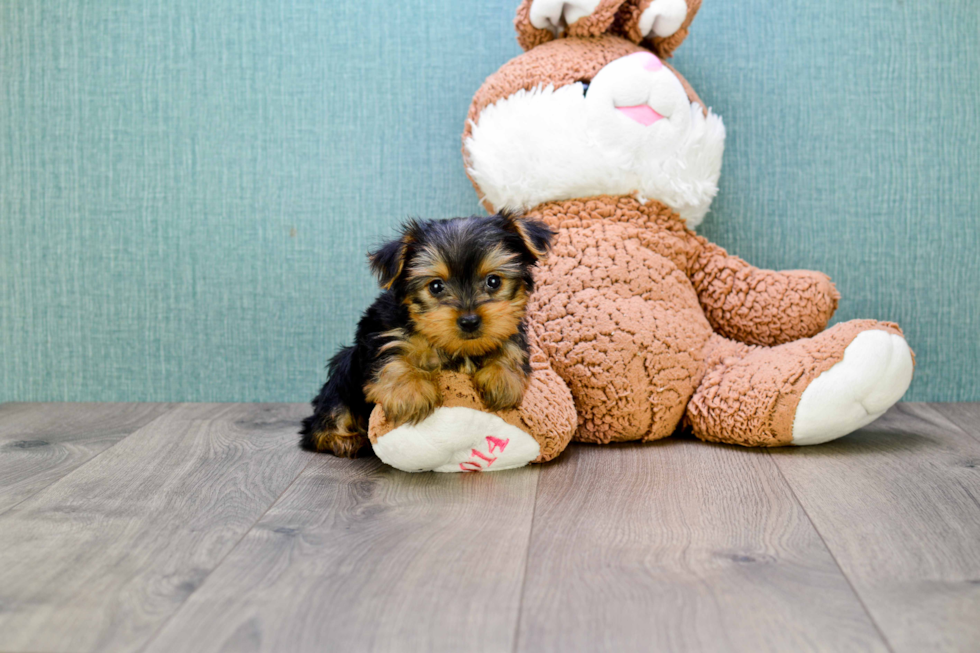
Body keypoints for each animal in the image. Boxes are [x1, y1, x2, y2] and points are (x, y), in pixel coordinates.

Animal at [300, 213, 552, 454]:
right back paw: (342, 439)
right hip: (343, 373)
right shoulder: (379, 331)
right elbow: (391, 357)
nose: (469, 321)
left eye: (493, 281)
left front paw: (502, 378)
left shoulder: (511, 326)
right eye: (436, 286)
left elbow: (510, 344)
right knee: (327, 415)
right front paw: (411, 392)